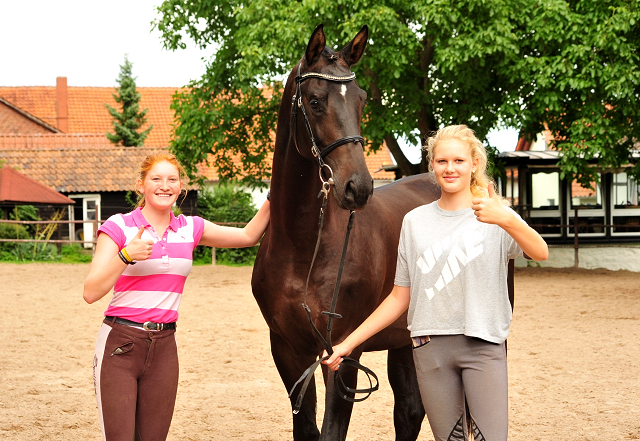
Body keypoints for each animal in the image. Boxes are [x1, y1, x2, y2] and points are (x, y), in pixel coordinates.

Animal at [251, 25, 444, 438]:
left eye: (362, 100)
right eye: (315, 101)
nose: (359, 187)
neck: (303, 247)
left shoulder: (344, 350)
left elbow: (331, 429)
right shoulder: (288, 350)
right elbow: (307, 427)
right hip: (404, 338)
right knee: (409, 410)